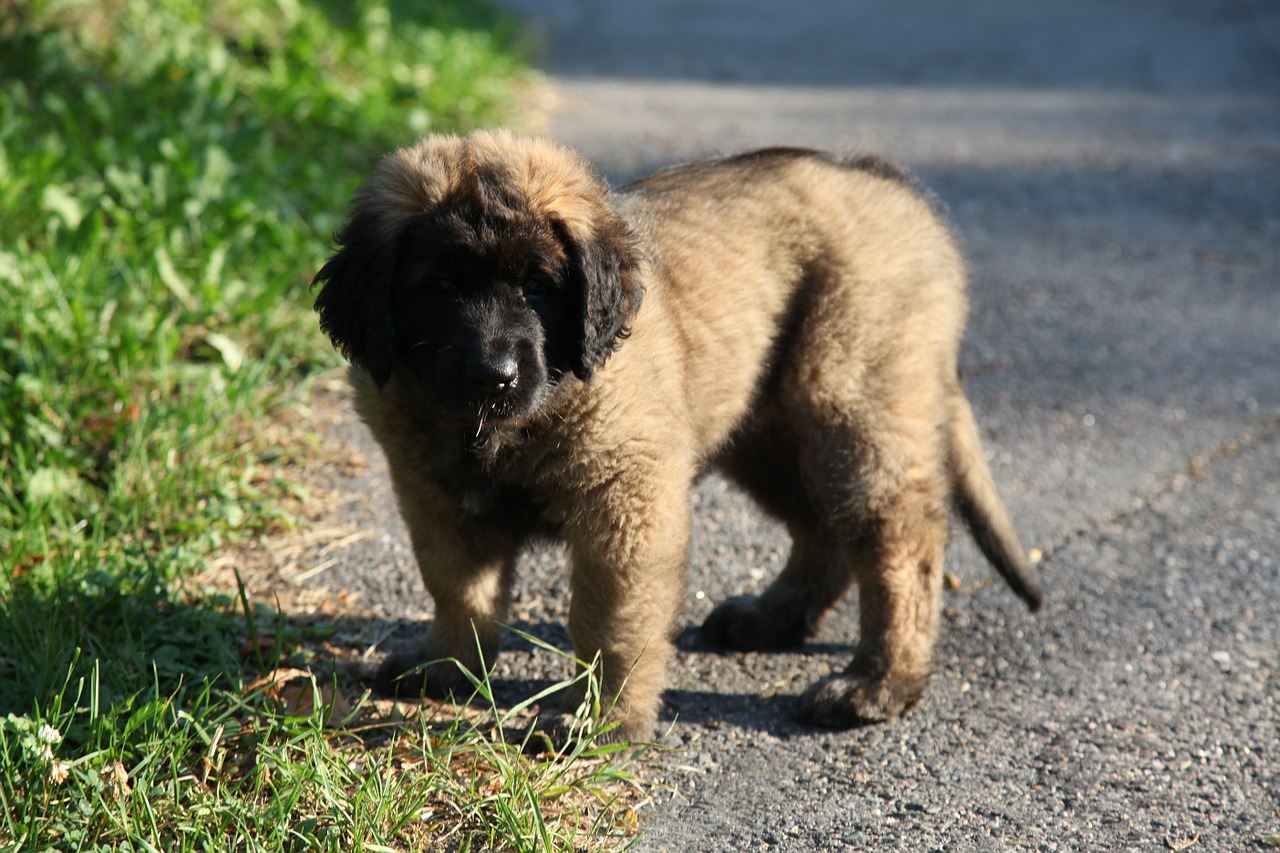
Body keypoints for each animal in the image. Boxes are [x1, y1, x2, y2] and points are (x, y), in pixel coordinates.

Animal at [314, 129, 1044, 742]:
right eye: (438, 286)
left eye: (538, 286)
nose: (494, 375)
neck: (511, 425)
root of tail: (887, 181)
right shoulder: (434, 495)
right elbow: (456, 589)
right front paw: (448, 666)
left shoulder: (623, 499)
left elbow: (610, 618)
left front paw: (600, 720)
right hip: (766, 430)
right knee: (824, 528)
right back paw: (771, 618)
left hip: (851, 402)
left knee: (901, 541)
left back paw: (876, 684)